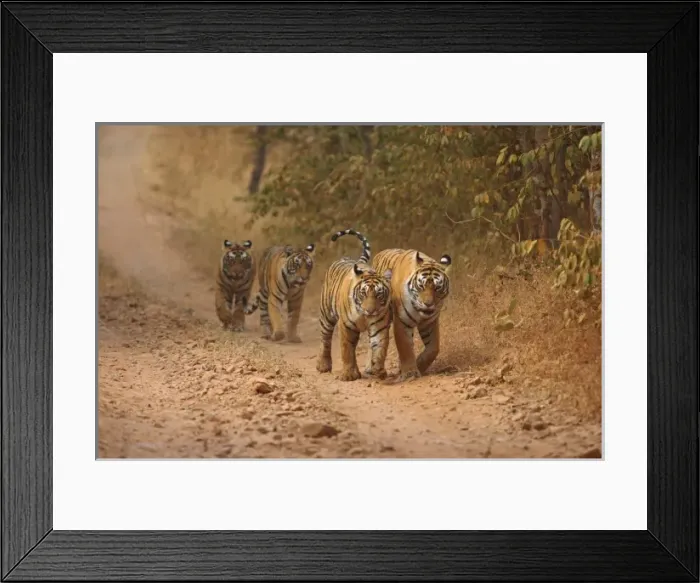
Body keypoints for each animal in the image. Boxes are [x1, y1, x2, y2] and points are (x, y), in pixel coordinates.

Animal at [316, 229, 393, 382]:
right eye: (363, 293)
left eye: (379, 294)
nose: (370, 310)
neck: (364, 316)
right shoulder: (346, 326)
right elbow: (347, 350)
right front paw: (349, 375)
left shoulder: (380, 326)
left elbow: (379, 348)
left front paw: (378, 370)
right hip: (326, 315)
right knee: (325, 338)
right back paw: (323, 365)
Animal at [371, 248, 452, 382]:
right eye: (421, 286)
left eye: (437, 288)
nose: (428, 304)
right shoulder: (402, 322)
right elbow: (405, 348)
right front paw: (410, 373)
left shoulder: (430, 323)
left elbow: (433, 348)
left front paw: (419, 365)